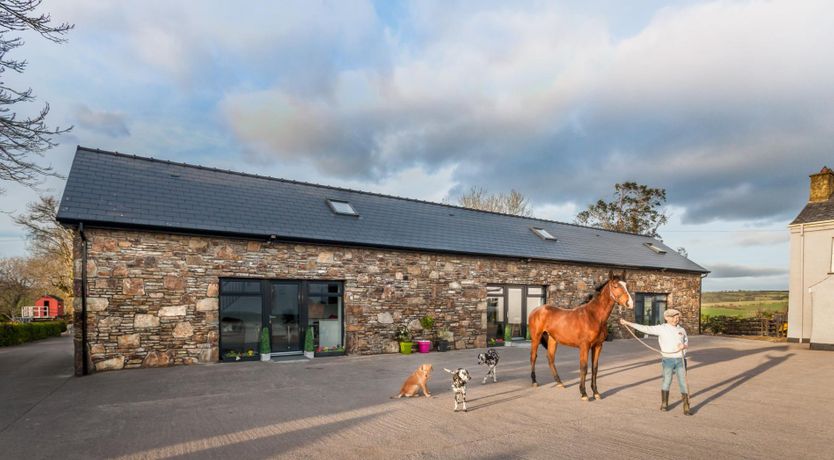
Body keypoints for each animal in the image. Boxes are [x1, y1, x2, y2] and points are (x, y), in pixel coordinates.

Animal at [528, 272, 632, 400]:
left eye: (626, 285)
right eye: (615, 286)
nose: (629, 303)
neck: (594, 316)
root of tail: (537, 310)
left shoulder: (598, 346)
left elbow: (595, 368)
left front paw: (596, 392)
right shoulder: (584, 346)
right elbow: (583, 368)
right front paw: (584, 393)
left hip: (552, 339)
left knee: (550, 358)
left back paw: (559, 382)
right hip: (536, 337)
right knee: (533, 356)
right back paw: (534, 381)